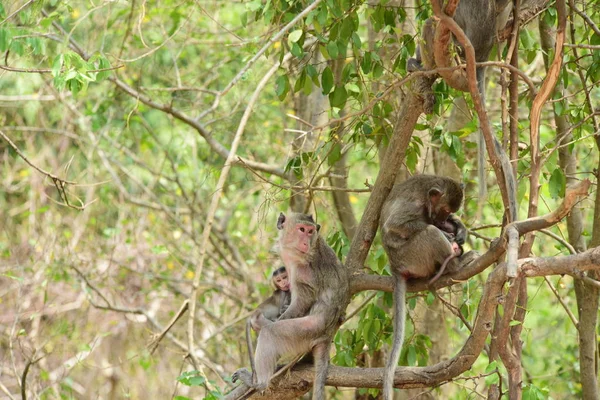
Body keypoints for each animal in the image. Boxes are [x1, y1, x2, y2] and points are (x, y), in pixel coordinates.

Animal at [232, 212, 350, 400]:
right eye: (302, 229)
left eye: (310, 231)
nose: (306, 242)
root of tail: (327, 335)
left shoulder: (303, 268)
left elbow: (303, 299)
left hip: (307, 330)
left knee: (270, 333)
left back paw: (258, 382)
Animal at [380, 175, 474, 400]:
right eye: (445, 209)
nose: (444, 220)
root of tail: (395, 266)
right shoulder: (412, 205)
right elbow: (396, 224)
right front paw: (445, 232)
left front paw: (459, 227)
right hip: (413, 256)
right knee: (428, 233)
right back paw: (456, 265)